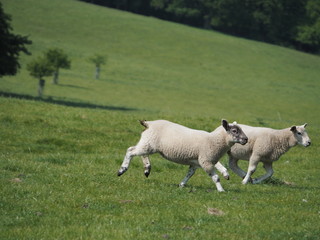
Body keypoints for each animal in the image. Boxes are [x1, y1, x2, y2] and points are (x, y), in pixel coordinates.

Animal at [117, 119, 248, 192]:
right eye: (235, 131)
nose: (246, 139)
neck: (214, 140)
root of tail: (149, 124)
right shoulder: (205, 160)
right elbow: (215, 177)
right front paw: (221, 190)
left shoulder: (198, 161)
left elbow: (190, 174)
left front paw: (181, 184)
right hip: (149, 143)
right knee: (130, 151)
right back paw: (122, 170)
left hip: (148, 143)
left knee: (140, 153)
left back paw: (147, 169)